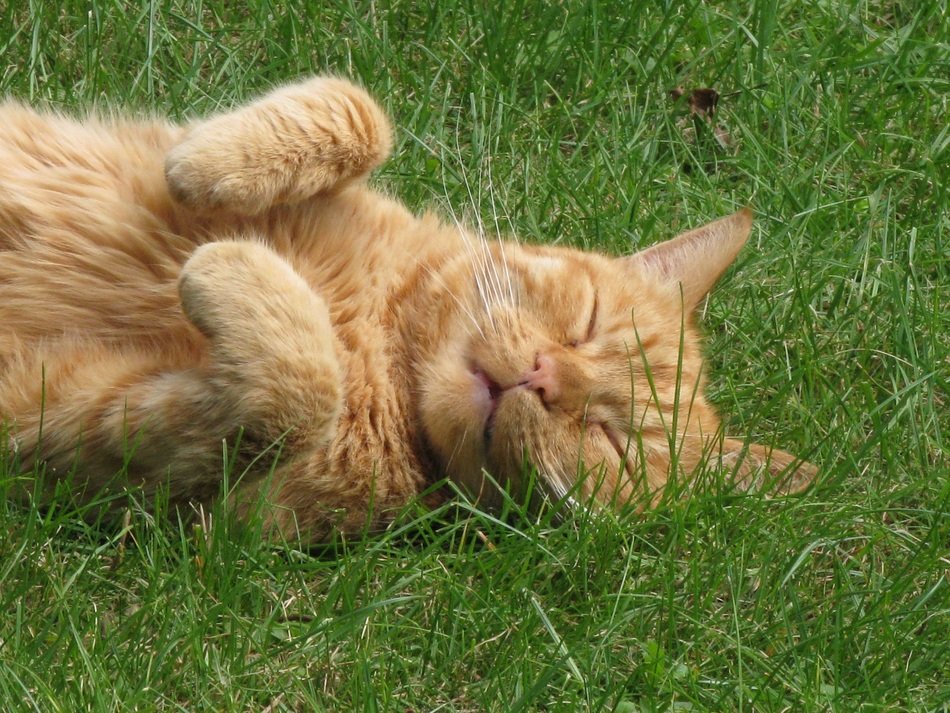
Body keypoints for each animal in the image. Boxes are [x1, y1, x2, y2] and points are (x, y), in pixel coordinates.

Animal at [0, 75, 820, 540]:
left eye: (611, 439)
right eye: (585, 322)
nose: (544, 376)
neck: (380, 333)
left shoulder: (143, 459)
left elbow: (299, 386)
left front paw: (230, 265)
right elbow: (362, 110)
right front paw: (212, 160)